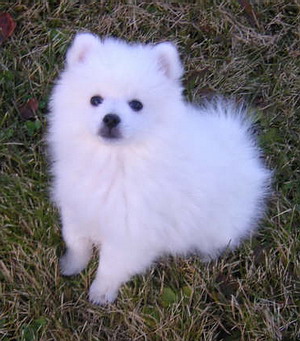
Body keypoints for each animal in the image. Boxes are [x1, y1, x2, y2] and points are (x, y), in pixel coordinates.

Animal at [48, 31, 270, 302]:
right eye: (95, 100)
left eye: (136, 105)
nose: (111, 118)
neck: (116, 161)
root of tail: (241, 150)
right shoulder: (77, 208)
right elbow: (76, 242)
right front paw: (70, 265)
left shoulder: (132, 232)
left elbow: (112, 265)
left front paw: (101, 293)